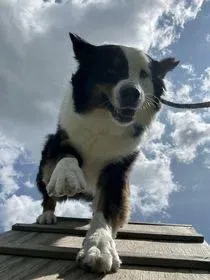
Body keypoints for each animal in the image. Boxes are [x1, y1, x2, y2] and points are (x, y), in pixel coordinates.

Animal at [36, 33, 179, 274]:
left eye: (144, 75)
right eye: (111, 70)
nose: (132, 93)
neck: (105, 122)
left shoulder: (117, 170)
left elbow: (106, 209)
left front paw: (99, 247)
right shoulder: (59, 139)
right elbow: (66, 155)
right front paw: (68, 176)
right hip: (45, 163)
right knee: (48, 191)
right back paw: (47, 214)